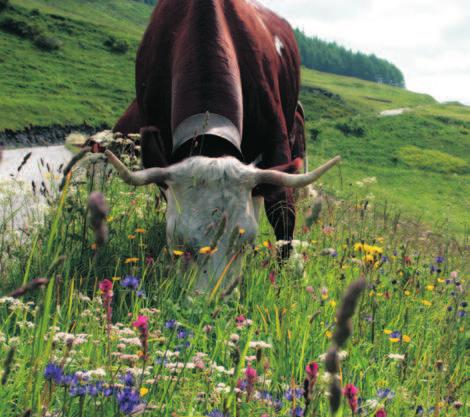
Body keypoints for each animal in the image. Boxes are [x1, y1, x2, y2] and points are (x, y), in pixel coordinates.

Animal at [104, 0, 340, 290]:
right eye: (177, 242)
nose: (210, 299)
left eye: (246, 242)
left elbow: (282, 214)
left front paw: (283, 277)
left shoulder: (277, 146)